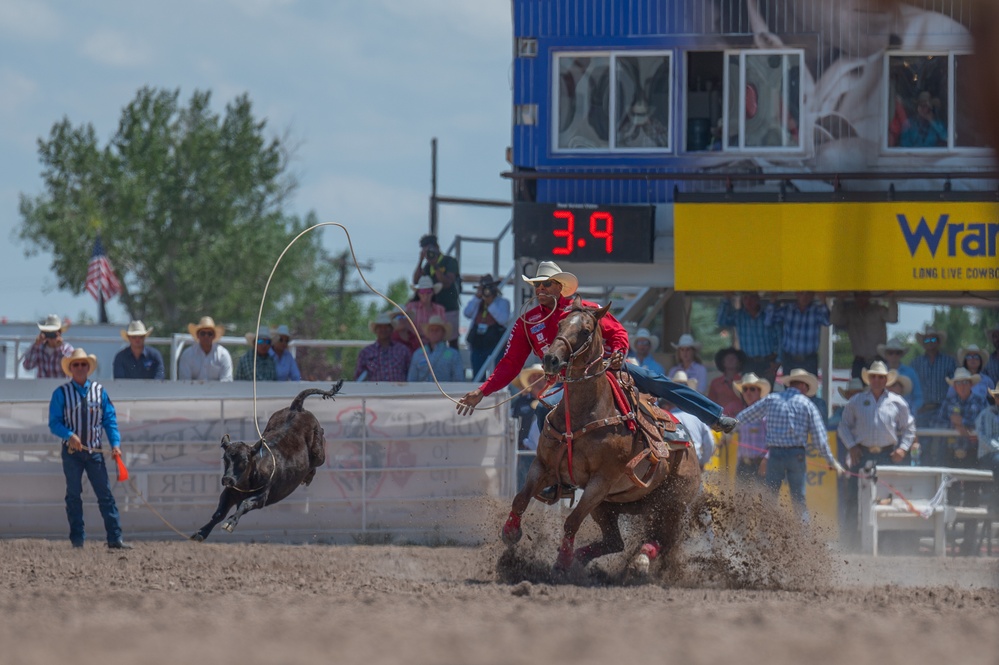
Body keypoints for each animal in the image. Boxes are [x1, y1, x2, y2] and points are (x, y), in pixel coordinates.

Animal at [500, 296, 704, 572]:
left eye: (586, 331)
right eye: (560, 324)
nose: (551, 359)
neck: (583, 414)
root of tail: (691, 451)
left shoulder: (600, 482)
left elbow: (572, 521)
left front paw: (563, 562)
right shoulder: (543, 466)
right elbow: (521, 499)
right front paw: (510, 533)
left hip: (672, 503)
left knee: (663, 538)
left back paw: (640, 560)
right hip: (613, 505)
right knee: (615, 542)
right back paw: (587, 558)